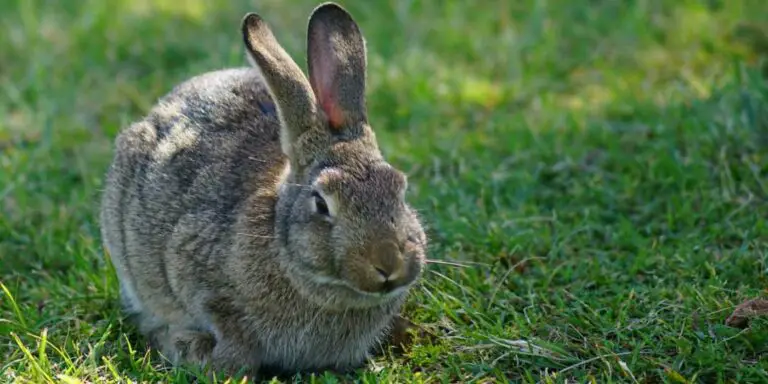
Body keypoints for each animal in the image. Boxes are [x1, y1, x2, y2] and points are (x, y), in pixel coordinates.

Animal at [97, 0, 426, 378]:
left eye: (399, 189)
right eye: (321, 203)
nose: (389, 264)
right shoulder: (200, 278)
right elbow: (230, 336)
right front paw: (206, 358)